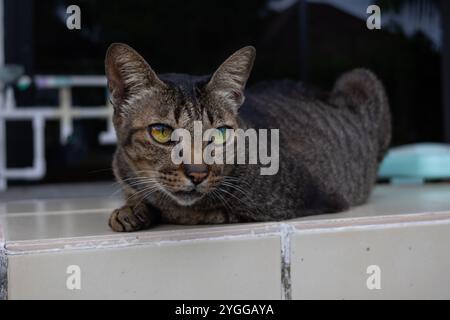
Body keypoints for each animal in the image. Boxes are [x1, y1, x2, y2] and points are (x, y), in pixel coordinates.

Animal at [105, 43, 390, 232]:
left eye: (220, 134)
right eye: (162, 132)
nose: (198, 174)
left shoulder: (304, 199)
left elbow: (192, 211)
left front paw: (143, 209)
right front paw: (131, 208)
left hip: (362, 78)